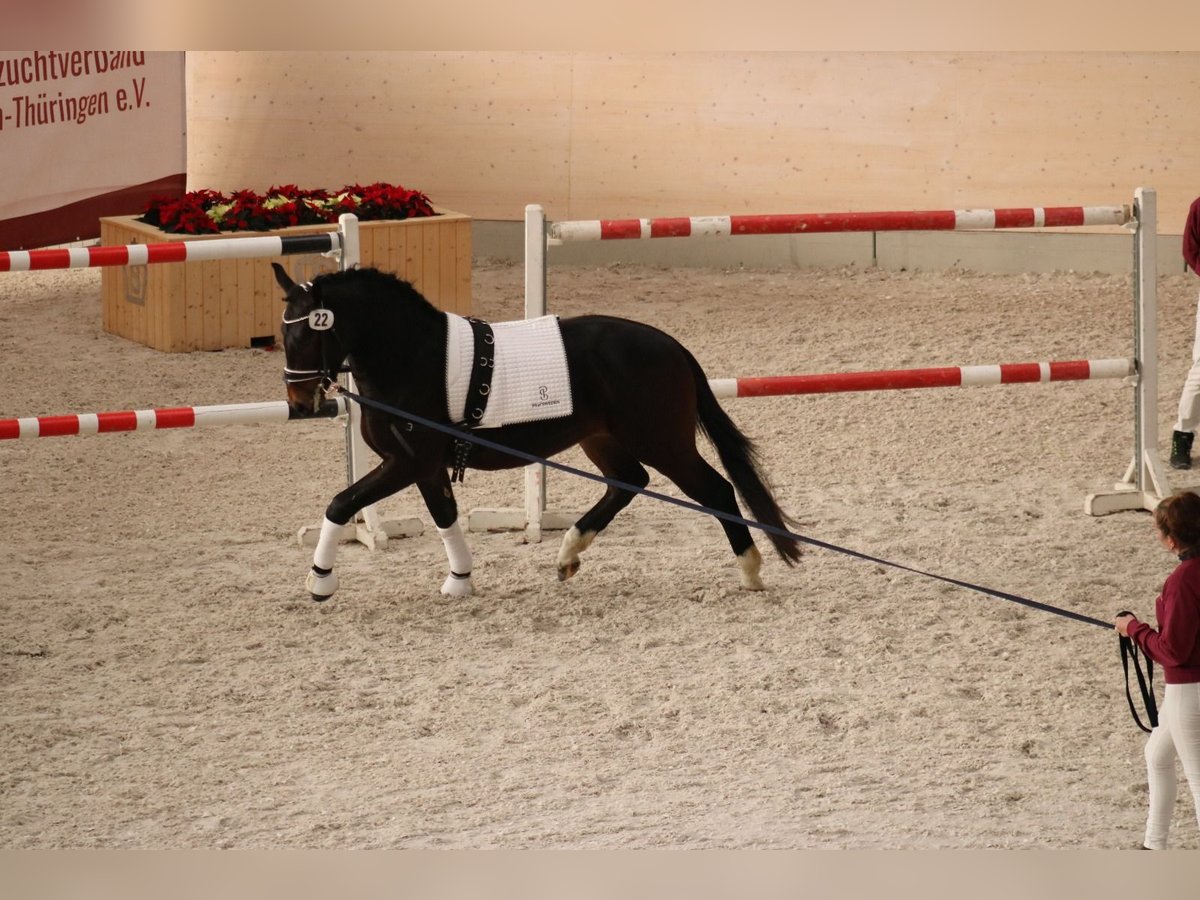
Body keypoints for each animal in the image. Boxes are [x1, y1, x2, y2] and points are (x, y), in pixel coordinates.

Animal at [273, 263, 801, 600]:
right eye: (283, 333)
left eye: (307, 334)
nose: (298, 403)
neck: (411, 356)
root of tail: (670, 345)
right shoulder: (425, 466)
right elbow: (444, 516)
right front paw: (460, 581)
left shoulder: (407, 462)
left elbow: (341, 503)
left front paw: (320, 581)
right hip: (602, 439)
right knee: (628, 482)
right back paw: (568, 553)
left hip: (662, 443)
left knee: (716, 489)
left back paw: (750, 571)